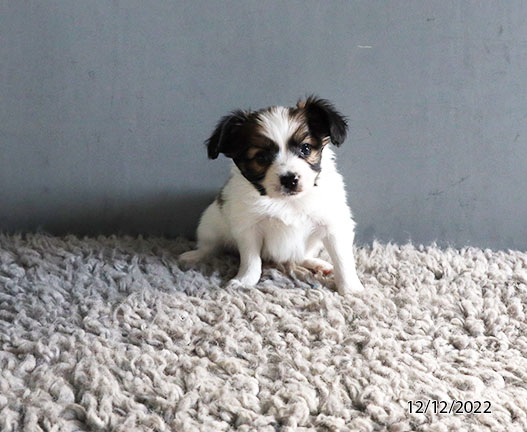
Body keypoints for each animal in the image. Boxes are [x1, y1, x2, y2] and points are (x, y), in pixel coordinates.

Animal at [179, 96, 366, 296]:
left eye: (306, 149)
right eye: (261, 158)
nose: (289, 179)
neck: (286, 201)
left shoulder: (333, 224)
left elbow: (342, 259)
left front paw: (351, 288)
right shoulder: (248, 229)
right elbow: (251, 260)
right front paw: (244, 281)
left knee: (301, 256)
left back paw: (318, 264)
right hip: (209, 224)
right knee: (210, 247)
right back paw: (193, 255)